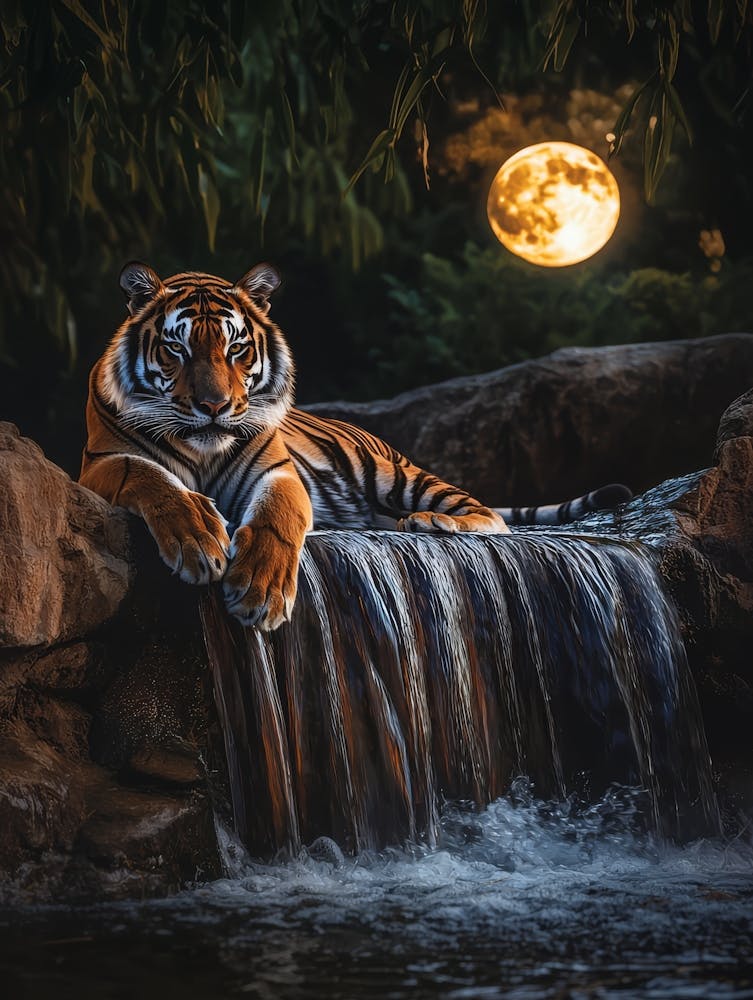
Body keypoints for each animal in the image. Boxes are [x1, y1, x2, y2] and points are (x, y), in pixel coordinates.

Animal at [80, 262, 630, 630]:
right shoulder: (102, 462)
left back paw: (435, 523)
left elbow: (277, 518)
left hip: (397, 475)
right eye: (177, 349)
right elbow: (152, 477)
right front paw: (196, 538)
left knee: (489, 514)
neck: (203, 446)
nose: (215, 406)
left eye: (236, 348)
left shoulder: (277, 470)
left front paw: (259, 590)